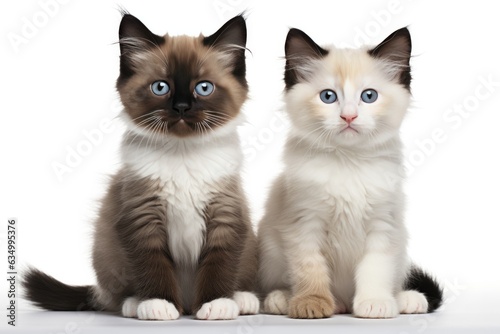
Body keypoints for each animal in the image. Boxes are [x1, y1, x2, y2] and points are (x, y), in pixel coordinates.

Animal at [22, 13, 260, 320]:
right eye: (161, 87)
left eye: (203, 87)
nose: (181, 107)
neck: (182, 152)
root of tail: (187, 303)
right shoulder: (142, 217)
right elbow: (153, 266)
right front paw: (159, 304)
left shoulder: (225, 216)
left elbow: (219, 265)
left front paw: (217, 303)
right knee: (114, 296)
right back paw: (137, 304)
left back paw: (242, 299)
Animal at [258, 27, 442, 318]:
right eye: (328, 97)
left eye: (369, 96)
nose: (348, 117)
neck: (348, 161)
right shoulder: (304, 224)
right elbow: (310, 269)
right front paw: (312, 303)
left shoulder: (382, 227)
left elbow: (375, 270)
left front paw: (375, 304)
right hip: (271, 250)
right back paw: (284, 299)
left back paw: (406, 300)